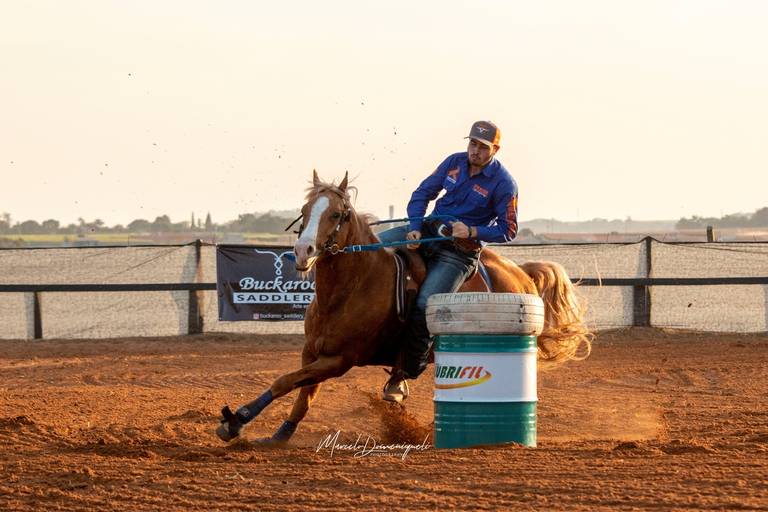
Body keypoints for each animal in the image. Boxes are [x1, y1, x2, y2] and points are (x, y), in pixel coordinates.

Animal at [216, 170, 592, 444]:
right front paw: (280, 434)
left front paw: (237, 420)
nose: (302, 250)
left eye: (337, 214)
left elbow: (285, 382)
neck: (350, 288)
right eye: (305, 212)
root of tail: (521, 272)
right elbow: (303, 392)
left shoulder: (340, 360)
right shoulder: (313, 353)